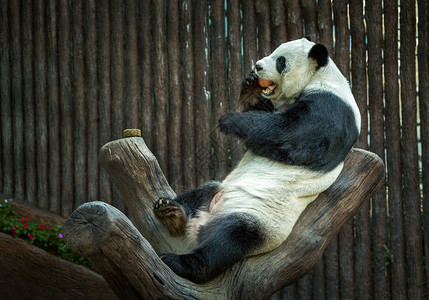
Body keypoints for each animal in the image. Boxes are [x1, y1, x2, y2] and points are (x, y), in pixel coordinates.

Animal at [152, 37, 360, 284]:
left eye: (281, 61)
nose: (258, 66)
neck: (321, 76)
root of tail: (204, 221)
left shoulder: (331, 108)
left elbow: (293, 134)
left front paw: (230, 120)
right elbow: (264, 116)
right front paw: (251, 88)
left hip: (260, 220)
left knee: (228, 240)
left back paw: (182, 262)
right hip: (219, 189)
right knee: (200, 192)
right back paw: (171, 211)